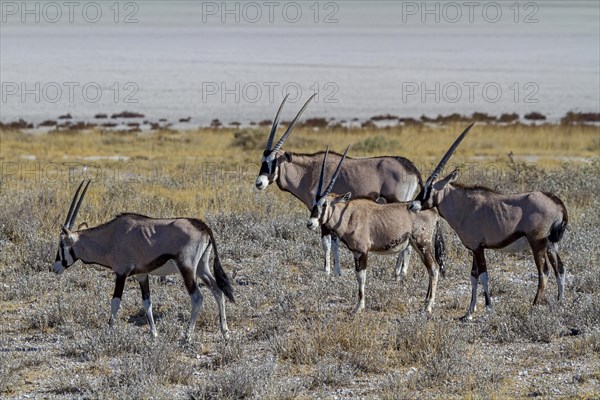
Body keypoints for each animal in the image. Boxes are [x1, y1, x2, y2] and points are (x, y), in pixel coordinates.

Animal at [52, 181, 234, 340]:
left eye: (61, 244)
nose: (55, 268)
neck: (111, 237)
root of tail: (201, 225)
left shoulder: (121, 273)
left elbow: (115, 301)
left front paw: (109, 330)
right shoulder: (142, 275)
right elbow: (147, 302)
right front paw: (154, 333)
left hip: (187, 267)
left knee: (197, 297)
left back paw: (187, 336)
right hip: (202, 267)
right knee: (217, 289)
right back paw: (224, 332)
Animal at [254, 94, 432, 278]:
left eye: (274, 161)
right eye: (262, 161)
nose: (259, 183)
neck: (308, 172)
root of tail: (411, 167)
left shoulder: (322, 211)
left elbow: (326, 243)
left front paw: (326, 271)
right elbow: (335, 242)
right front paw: (337, 271)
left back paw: (399, 272)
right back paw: (399, 271)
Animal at [308, 146, 442, 312]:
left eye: (325, 204)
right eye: (314, 204)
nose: (310, 223)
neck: (349, 214)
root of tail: (433, 212)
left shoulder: (363, 251)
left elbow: (362, 276)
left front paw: (359, 306)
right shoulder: (355, 252)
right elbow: (358, 275)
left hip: (423, 244)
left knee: (434, 268)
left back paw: (428, 306)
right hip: (417, 245)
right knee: (430, 269)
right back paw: (425, 302)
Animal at [410, 123, 568, 320]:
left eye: (429, 189)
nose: (413, 205)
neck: (464, 204)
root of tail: (557, 203)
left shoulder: (478, 247)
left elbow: (484, 275)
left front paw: (488, 307)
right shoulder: (474, 248)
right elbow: (473, 276)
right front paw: (468, 313)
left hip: (537, 243)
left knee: (544, 271)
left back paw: (534, 306)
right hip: (551, 245)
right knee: (559, 268)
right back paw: (559, 303)